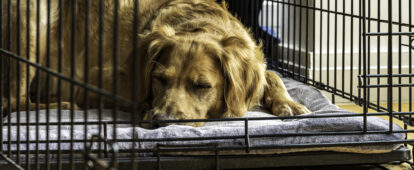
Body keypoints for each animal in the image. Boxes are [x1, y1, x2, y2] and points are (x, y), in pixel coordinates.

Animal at [1, 0, 308, 127]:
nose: (162, 120)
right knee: (14, 101)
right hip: (34, 18)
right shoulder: (97, 80)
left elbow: (271, 74)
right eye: (159, 79)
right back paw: (63, 105)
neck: (197, 24)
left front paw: (288, 103)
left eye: (202, 86)